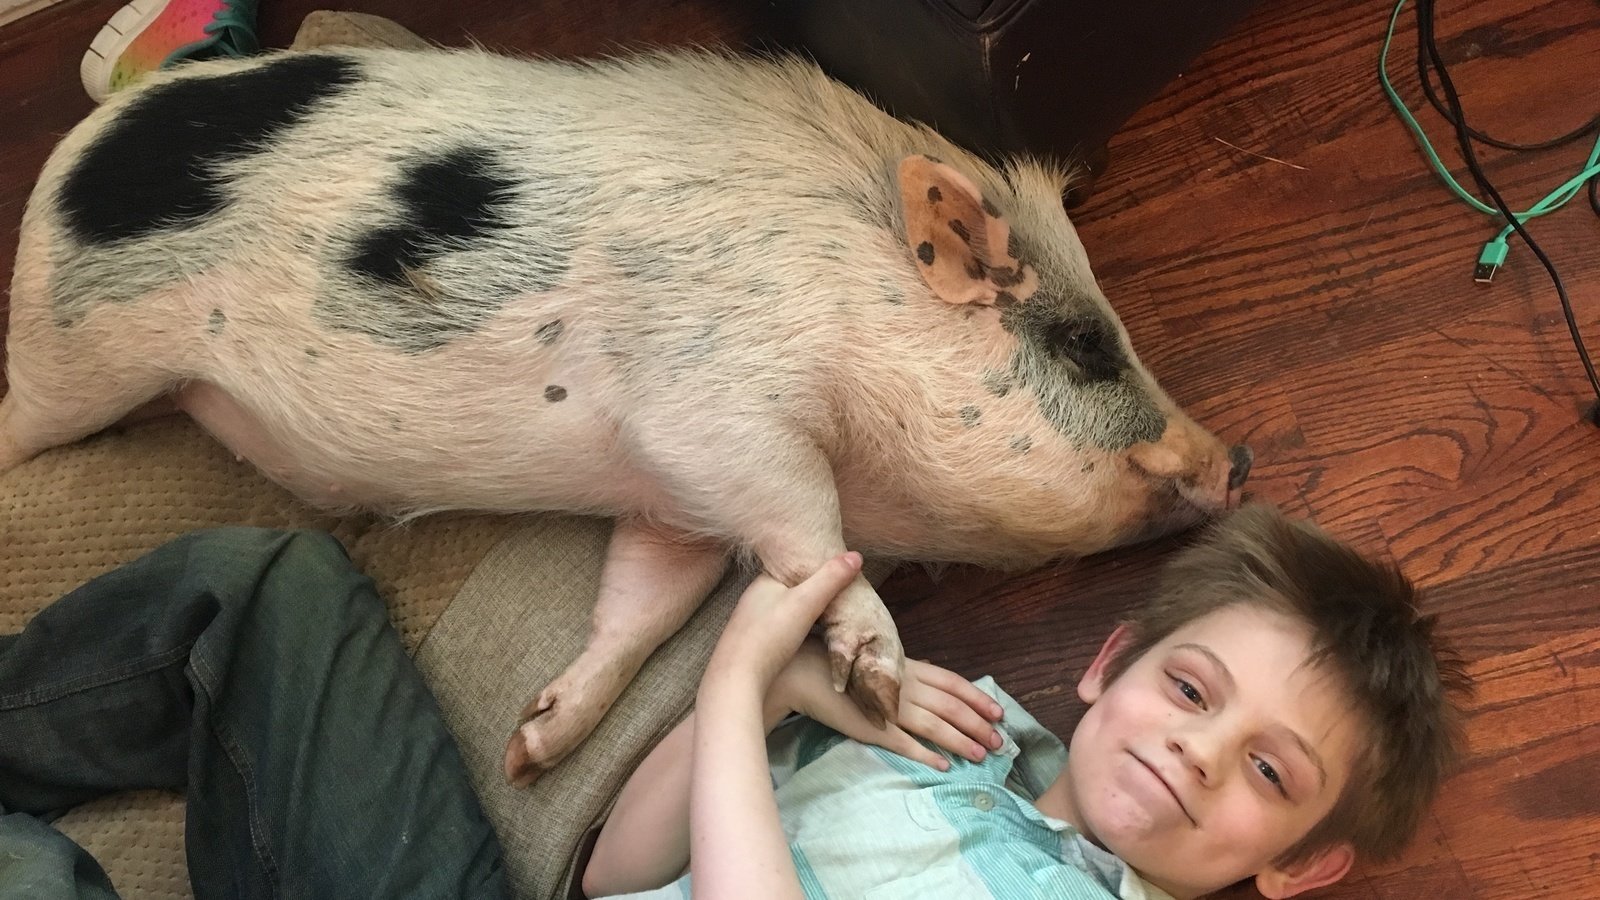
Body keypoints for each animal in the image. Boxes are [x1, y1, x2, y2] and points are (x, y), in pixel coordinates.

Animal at [0, 48, 1251, 787]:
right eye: (1084, 344)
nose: (1236, 458)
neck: (854, 301)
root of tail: (75, 151)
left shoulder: (670, 498)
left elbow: (646, 607)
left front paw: (531, 751)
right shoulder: (714, 420)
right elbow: (814, 545)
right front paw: (906, 699)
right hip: (78, 359)